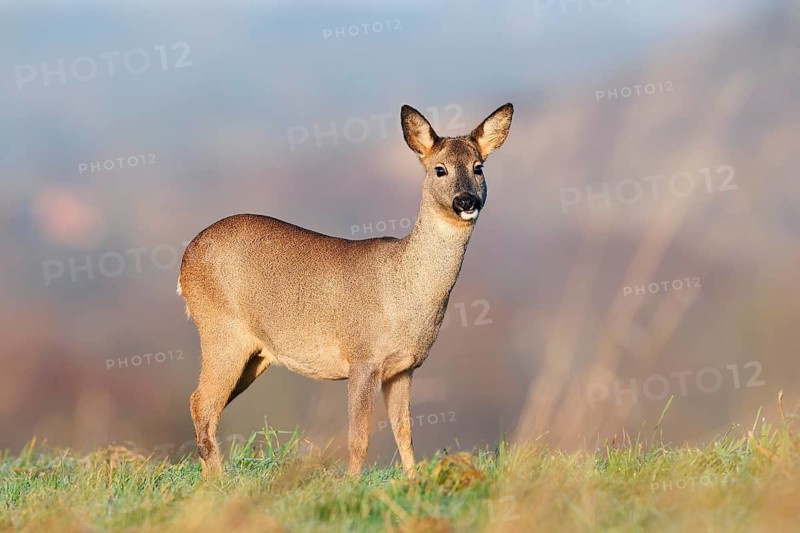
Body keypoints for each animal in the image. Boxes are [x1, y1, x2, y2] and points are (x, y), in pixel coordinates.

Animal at [177, 103, 513, 479]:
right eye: (440, 169)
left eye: (478, 167)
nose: (466, 200)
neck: (404, 289)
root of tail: (186, 259)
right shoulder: (362, 358)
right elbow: (359, 437)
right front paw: (351, 483)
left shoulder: (404, 368)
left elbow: (405, 431)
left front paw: (412, 481)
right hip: (222, 331)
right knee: (201, 402)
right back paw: (217, 482)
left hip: (256, 354)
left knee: (207, 406)